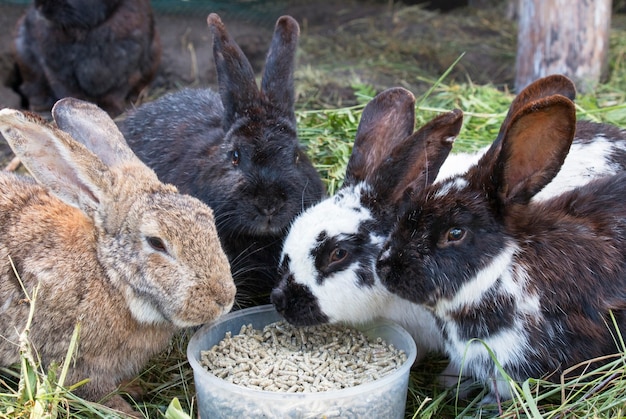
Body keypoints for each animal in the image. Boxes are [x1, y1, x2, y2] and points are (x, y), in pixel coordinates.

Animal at [0, 98, 235, 416]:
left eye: (208, 217)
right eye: (156, 243)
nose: (225, 299)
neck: (108, 276)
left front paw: (134, 387)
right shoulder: (72, 360)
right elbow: (94, 392)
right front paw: (128, 411)